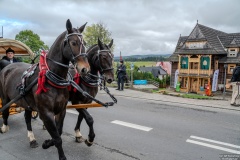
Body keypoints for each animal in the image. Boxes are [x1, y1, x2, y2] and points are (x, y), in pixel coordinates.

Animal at [0, 19, 89, 159]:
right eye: (73, 43)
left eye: (84, 43)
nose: (85, 69)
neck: (51, 77)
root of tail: (7, 67)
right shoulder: (46, 112)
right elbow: (57, 137)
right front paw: (60, 155)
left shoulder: (61, 110)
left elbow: (58, 132)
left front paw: (47, 143)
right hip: (5, 97)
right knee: (5, 111)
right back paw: (4, 127)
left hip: (26, 102)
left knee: (27, 118)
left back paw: (32, 139)